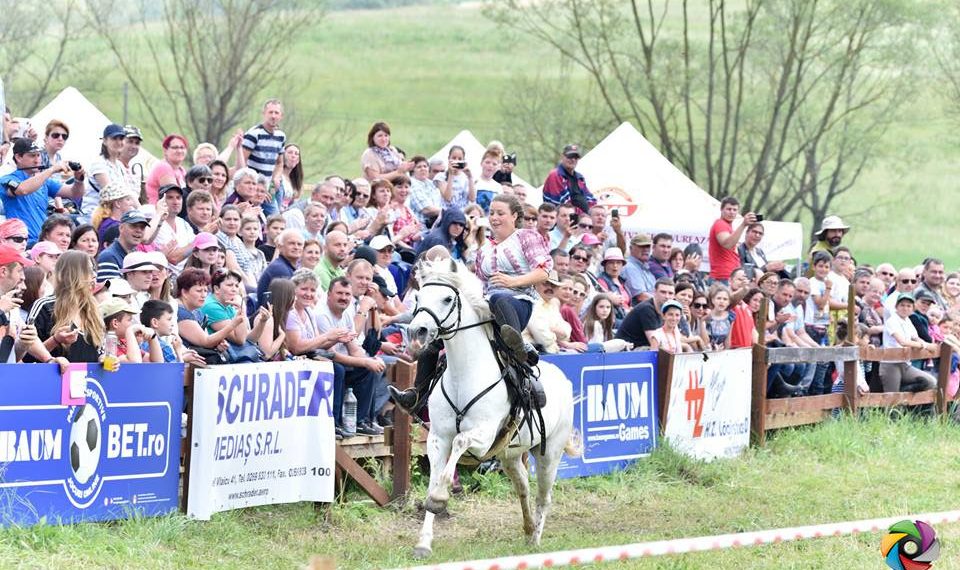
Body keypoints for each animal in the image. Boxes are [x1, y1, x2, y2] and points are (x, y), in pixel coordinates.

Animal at [405, 259, 579, 559]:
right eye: (418, 297)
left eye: (447, 298)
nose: (418, 331)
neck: (464, 374)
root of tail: (564, 379)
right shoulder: (437, 438)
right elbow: (434, 479)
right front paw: (424, 543)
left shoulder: (483, 437)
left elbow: (460, 442)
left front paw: (440, 498)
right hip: (511, 455)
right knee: (523, 487)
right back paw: (528, 530)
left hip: (550, 454)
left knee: (543, 496)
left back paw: (536, 538)